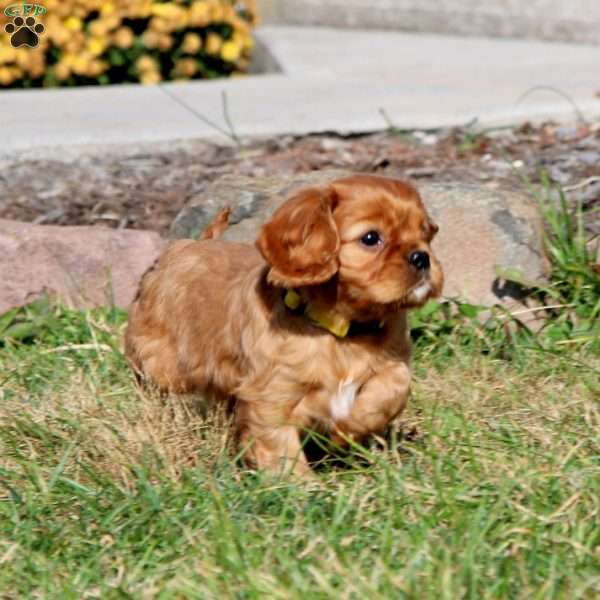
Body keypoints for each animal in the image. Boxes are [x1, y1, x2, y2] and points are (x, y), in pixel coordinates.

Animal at [124, 173, 442, 474]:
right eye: (371, 238)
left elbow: (395, 384)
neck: (343, 333)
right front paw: (299, 485)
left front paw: (349, 428)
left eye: (425, 235)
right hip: (161, 362)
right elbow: (278, 442)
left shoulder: (393, 359)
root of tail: (187, 245)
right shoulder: (271, 392)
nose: (422, 257)